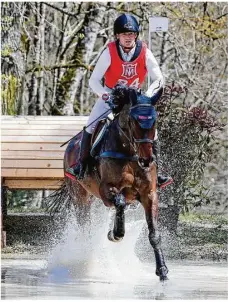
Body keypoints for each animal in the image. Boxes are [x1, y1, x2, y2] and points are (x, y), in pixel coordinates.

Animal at [63, 86, 168, 282]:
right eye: (134, 120)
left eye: (155, 121)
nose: (147, 160)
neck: (130, 153)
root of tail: (71, 144)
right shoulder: (106, 190)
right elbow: (119, 202)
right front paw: (116, 234)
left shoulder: (149, 195)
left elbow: (154, 234)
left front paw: (162, 270)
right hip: (81, 198)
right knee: (85, 226)